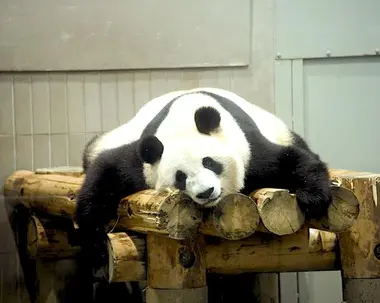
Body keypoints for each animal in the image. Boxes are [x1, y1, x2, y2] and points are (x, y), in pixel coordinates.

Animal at [75, 87, 332, 282]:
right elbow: (108, 170)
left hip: (277, 128)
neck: (185, 119)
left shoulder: (250, 151)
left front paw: (314, 198)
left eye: (209, 162)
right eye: (180, 177)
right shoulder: (145, 161)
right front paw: (94, 238)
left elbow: (291, 159)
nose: (206, 192)